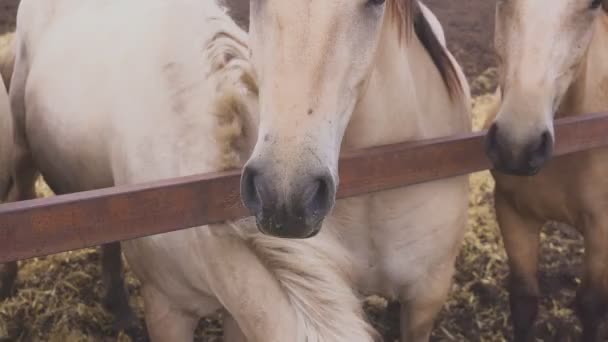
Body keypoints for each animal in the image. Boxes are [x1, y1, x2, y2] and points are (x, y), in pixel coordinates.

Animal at [484, 0, 608, 342]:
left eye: (593, 4)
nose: (517, 145)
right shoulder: (513, 212)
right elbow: (524, 299)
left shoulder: (602, 228)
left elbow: (591, 306)